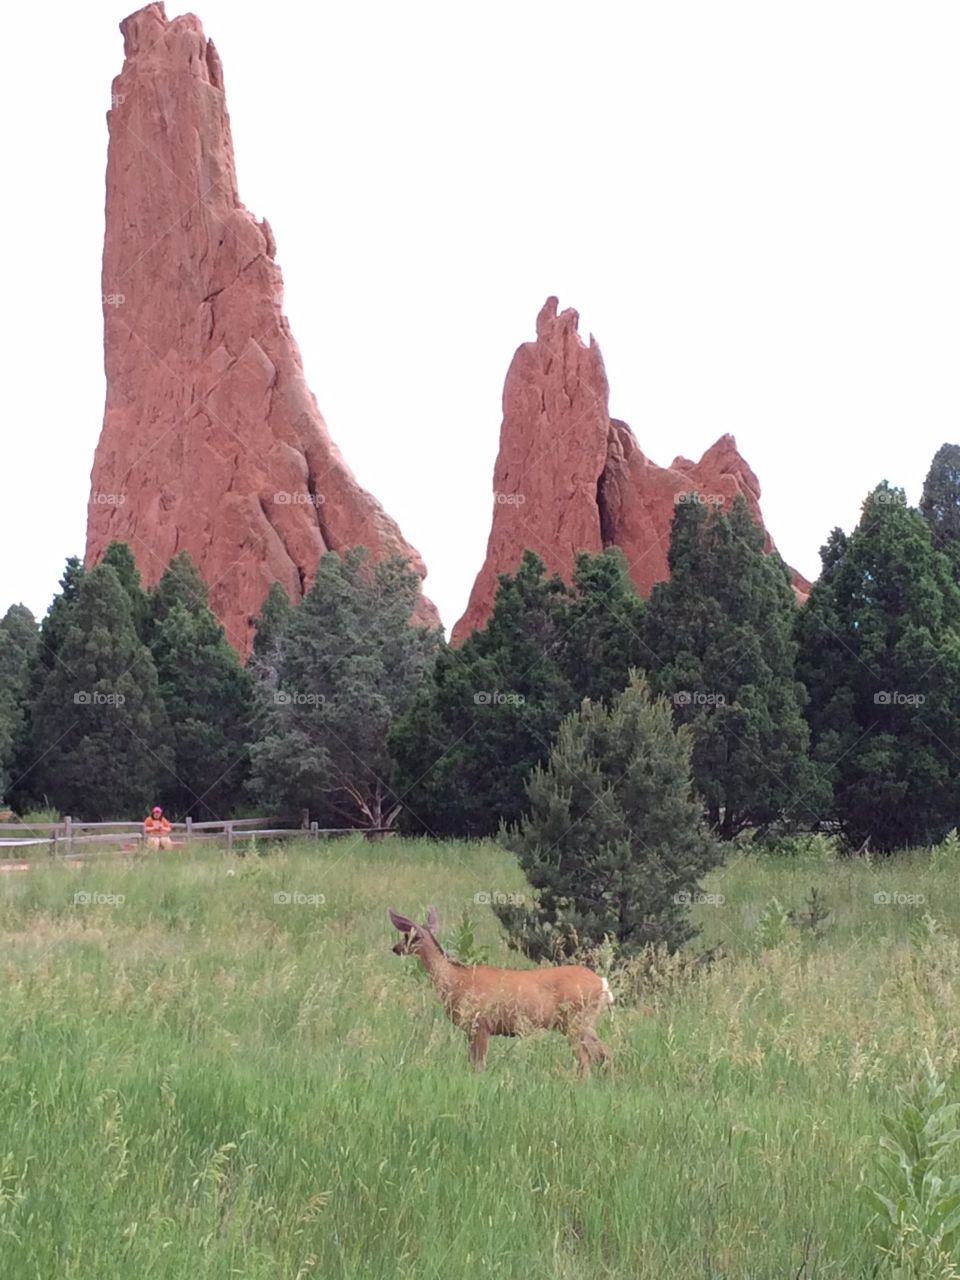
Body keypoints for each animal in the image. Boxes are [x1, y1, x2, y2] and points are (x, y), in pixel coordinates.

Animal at [389, 906, 613, 1077]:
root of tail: (602, 983)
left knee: (586, 1057)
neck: (456, 980)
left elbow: (479, 1065)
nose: (395, 948)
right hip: (584, 1022)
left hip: (575, 1020)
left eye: (408, 935)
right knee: (604, 1053)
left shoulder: (481, 1024)